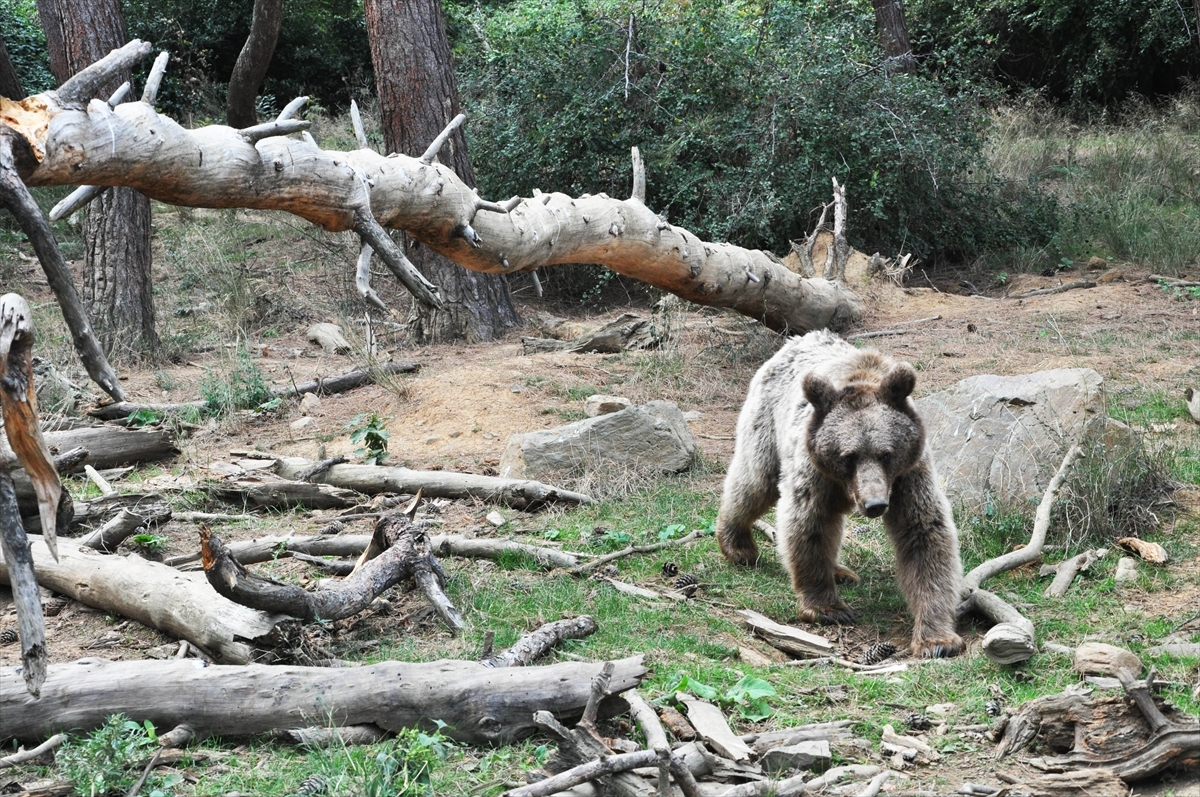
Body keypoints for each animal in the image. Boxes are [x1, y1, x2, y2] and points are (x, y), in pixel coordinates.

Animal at [710, 326, 964, 657]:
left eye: (886, 454)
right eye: (849, 456)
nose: (875, 504)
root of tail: (795, 340)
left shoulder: (908, 476)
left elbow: (924, 534)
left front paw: (937, 640)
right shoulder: (816, 470)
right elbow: (810, 524)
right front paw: (827, 608)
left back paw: (841, 571)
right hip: (768, 423)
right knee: (754, 481)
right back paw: (738, 545)